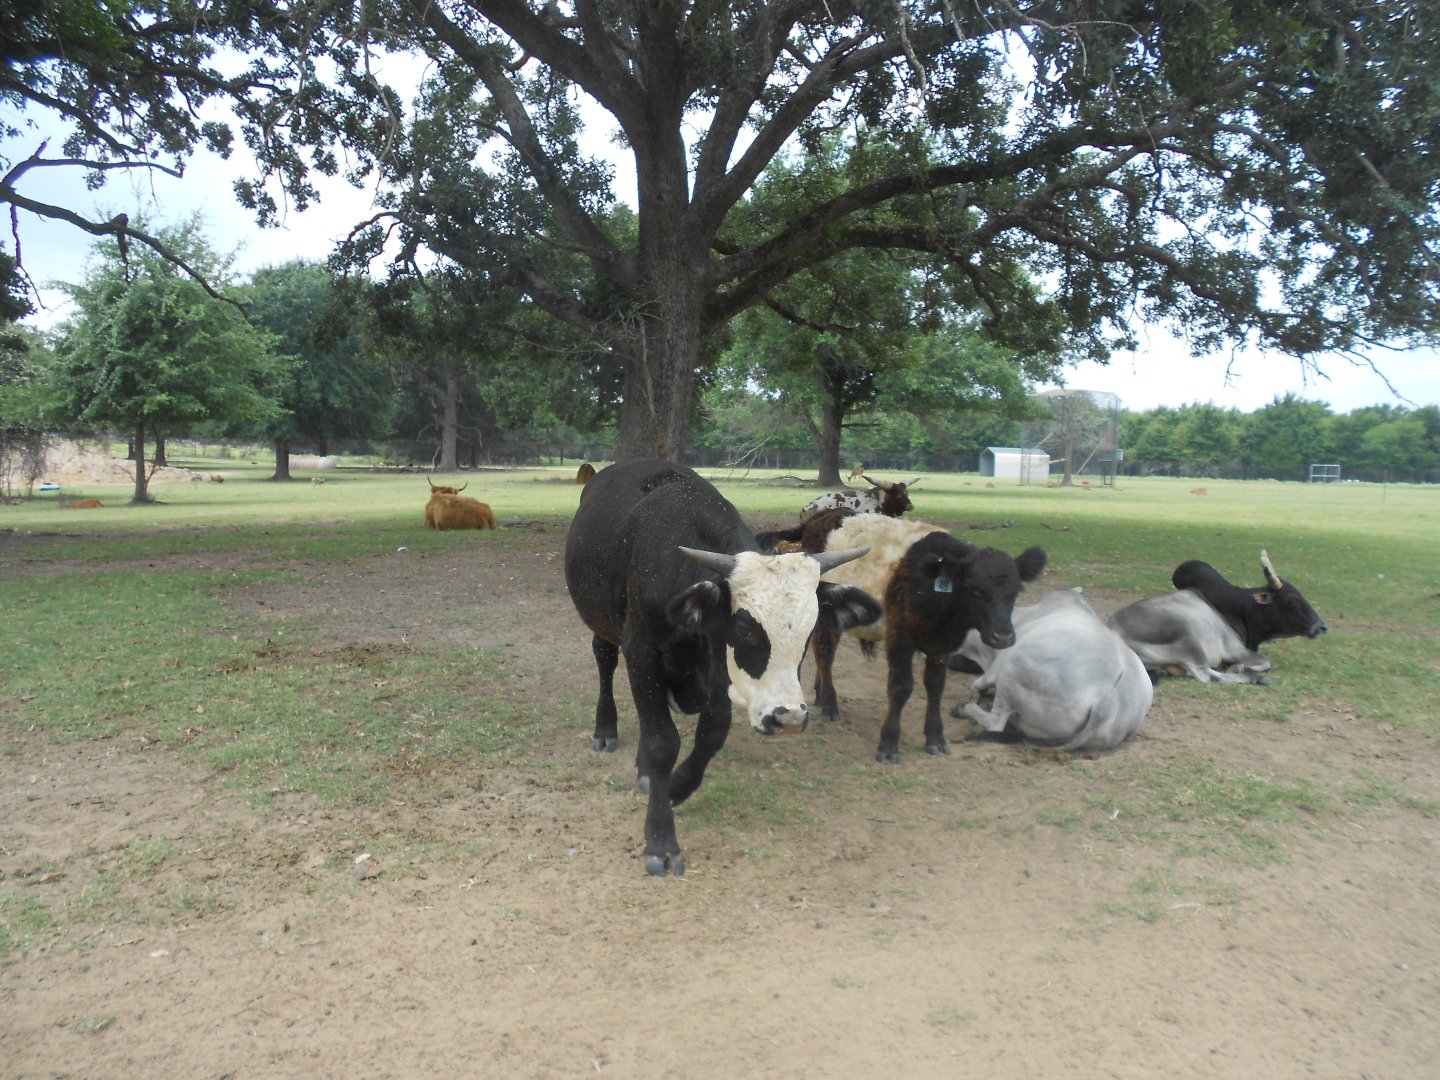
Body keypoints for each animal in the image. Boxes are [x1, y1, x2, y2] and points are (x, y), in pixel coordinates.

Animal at [564, 459, 882, 876]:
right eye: (745, 628)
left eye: (811, 629)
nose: (788, 719)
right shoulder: (642, 653)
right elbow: (662, 741)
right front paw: (661, 839)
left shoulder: (717, 672)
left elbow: (711, 735)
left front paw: (677, 786)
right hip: (602, 624)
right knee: (604, 660)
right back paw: (605, 729)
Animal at [797, 512, 1046, 763]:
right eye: (976, 591)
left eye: (1014, 593)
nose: (1002, 637)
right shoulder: (900, 638)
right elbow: (901, 687)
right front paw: (889, 743)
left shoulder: (942, 645)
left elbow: (935, 686)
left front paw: (935, 738)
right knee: (825, 656)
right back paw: (829, 705)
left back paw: (820, 694)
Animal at [953, 590, 1152, 752]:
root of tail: (1106, 700)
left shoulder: (997, 665)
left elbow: (978, 684)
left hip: (1012, 673)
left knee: (995, 722)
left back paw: (964, 709)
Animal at [1108, 550, 1327, 684]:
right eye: (1292, 600)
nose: (1321, 627)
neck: (1237, 610)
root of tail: (1113, 631)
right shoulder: (1234, 649)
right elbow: (1265, 662)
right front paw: (1238, 668)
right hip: (1188, 639)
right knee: (1207, 675)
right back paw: (1255, 678)